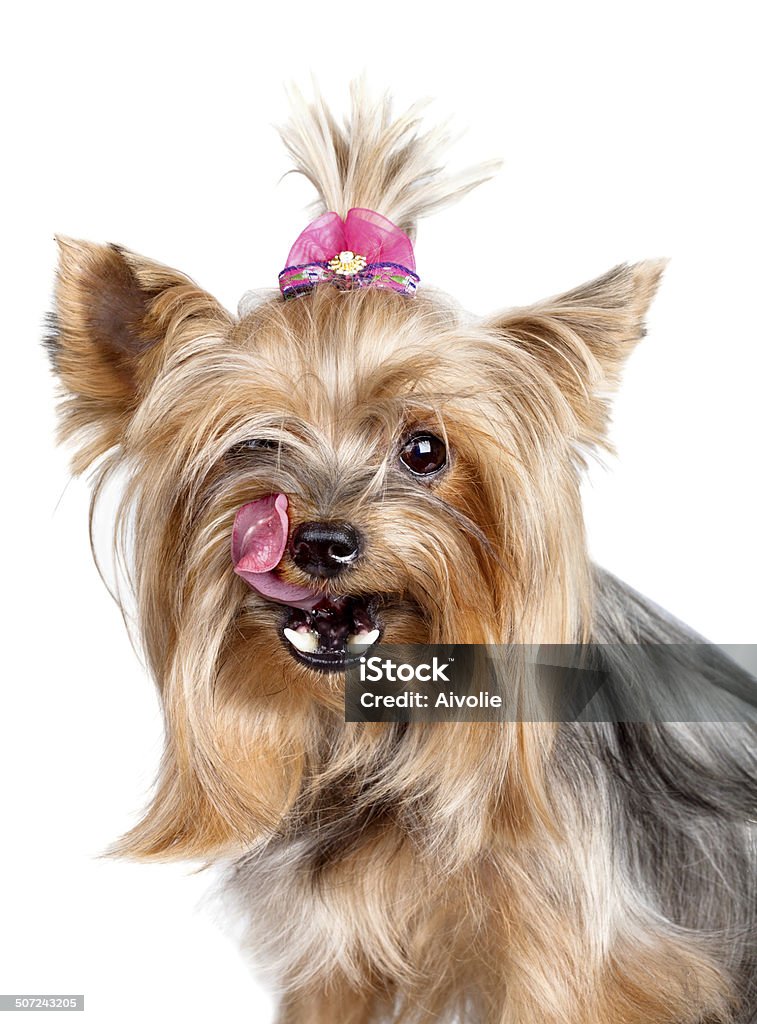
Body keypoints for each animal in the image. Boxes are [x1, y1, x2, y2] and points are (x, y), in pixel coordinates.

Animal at [50, 90, 753, 1024]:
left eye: (424, 450)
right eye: (254, 443)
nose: (320, 540)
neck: (375, 737)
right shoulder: (336, 960)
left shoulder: (577, 957)